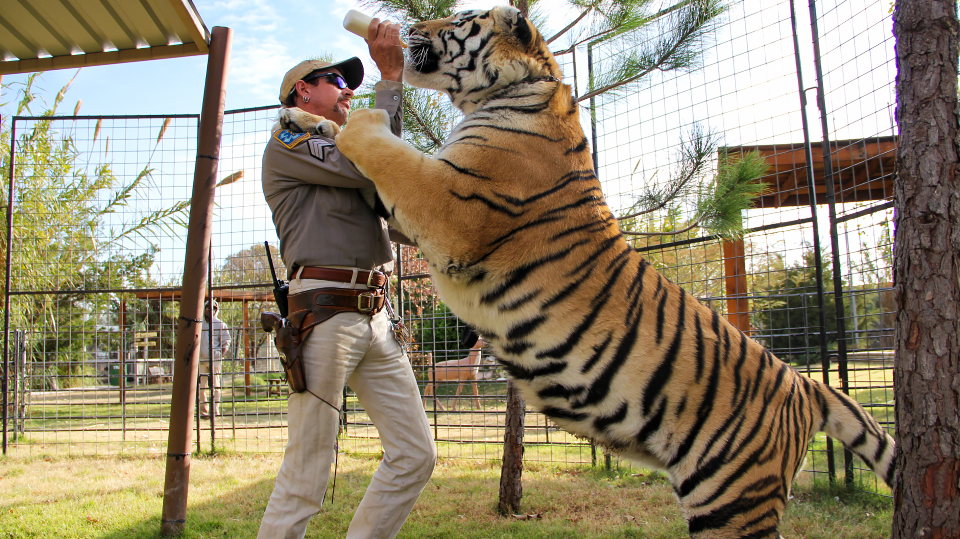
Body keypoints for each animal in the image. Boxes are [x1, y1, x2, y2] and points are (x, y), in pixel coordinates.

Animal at [327, 6, 895, 538]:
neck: (514, 90)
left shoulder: (450, 204)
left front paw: (353, 118)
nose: (411, 28)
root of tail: (805, 386)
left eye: (460, 19)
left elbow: (388, 152)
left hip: (731, 497)